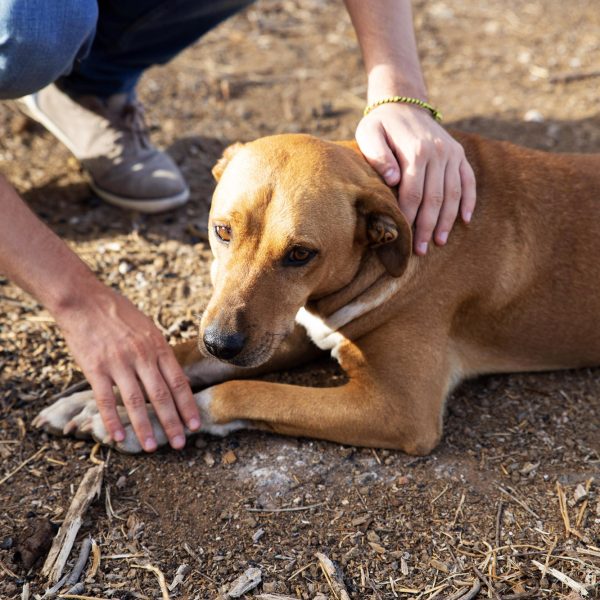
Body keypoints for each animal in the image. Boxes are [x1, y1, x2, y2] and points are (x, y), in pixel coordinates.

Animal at [31, 134, 600, 454]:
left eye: (301, 254)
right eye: (221, 231)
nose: (221, 343)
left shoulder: (400, 410)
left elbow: (242, 391)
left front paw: (141, 419)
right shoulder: (288, 330)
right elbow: (181, 356)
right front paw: (97, 399)